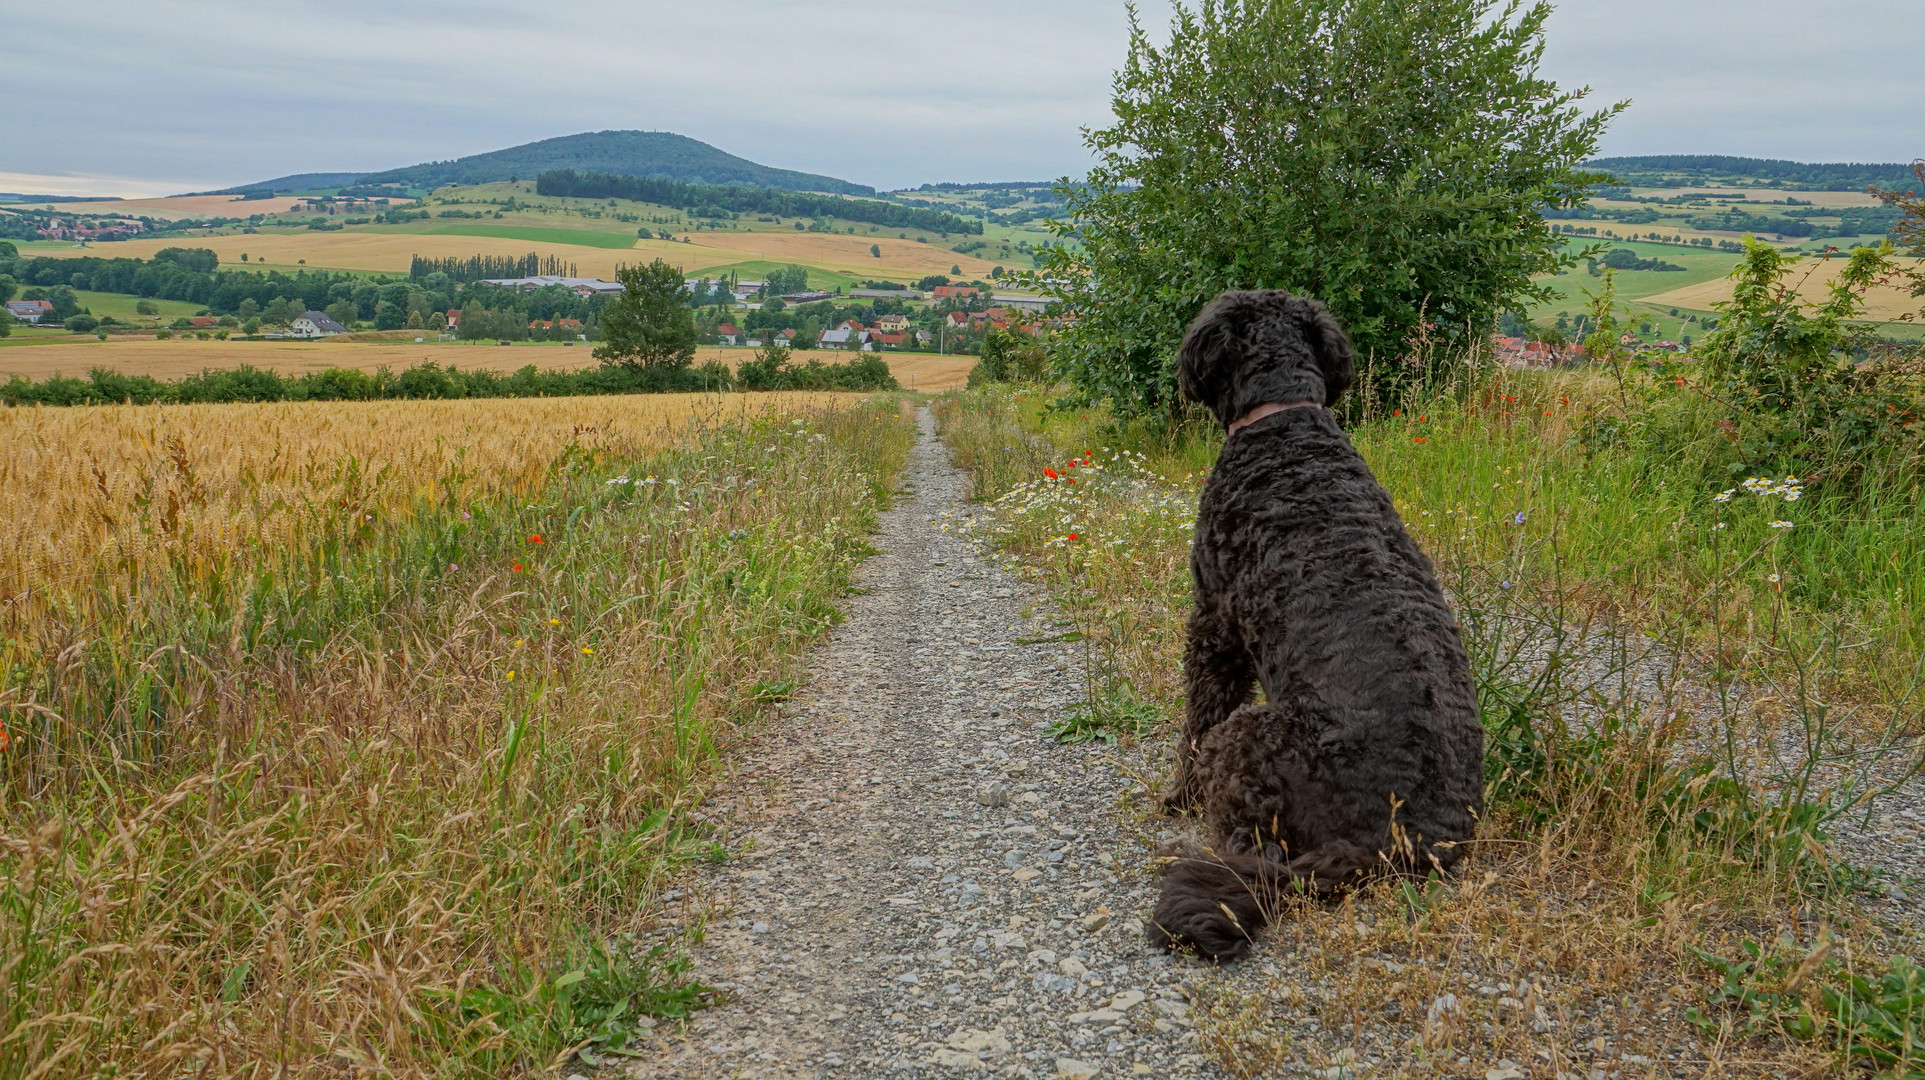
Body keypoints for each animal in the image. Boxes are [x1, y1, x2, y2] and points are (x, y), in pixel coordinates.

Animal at [1139, 288, 1486, 958]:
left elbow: (1196, 721)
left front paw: (1176, 797)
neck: (1284, 419)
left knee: (1253, 847)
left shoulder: (1215, 625)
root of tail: (1403, 838)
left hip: (1249, 739)